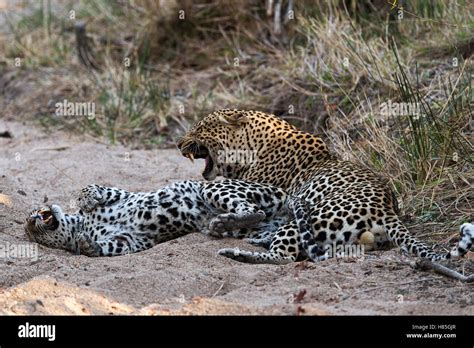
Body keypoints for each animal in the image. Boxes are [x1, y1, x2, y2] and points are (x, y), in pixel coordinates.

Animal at [26, 179, 292, 256]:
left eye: (29, 219)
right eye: (30, 231)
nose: (33, 218)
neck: (81, 223)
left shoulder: (124, 194)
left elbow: (97, 188)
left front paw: (88, 198)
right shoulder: (132, 239)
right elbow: (110, 245)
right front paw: (89, 246)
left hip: (213, 188)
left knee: (252, 208)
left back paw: (226, 219)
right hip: (254, 228)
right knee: (258, 219)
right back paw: (224, 223)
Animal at [176, 109, 472, 264]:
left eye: (199, 128)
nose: (179, 143)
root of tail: (387, 211)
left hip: (313, 212)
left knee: (283, 255)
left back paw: (236, 251)